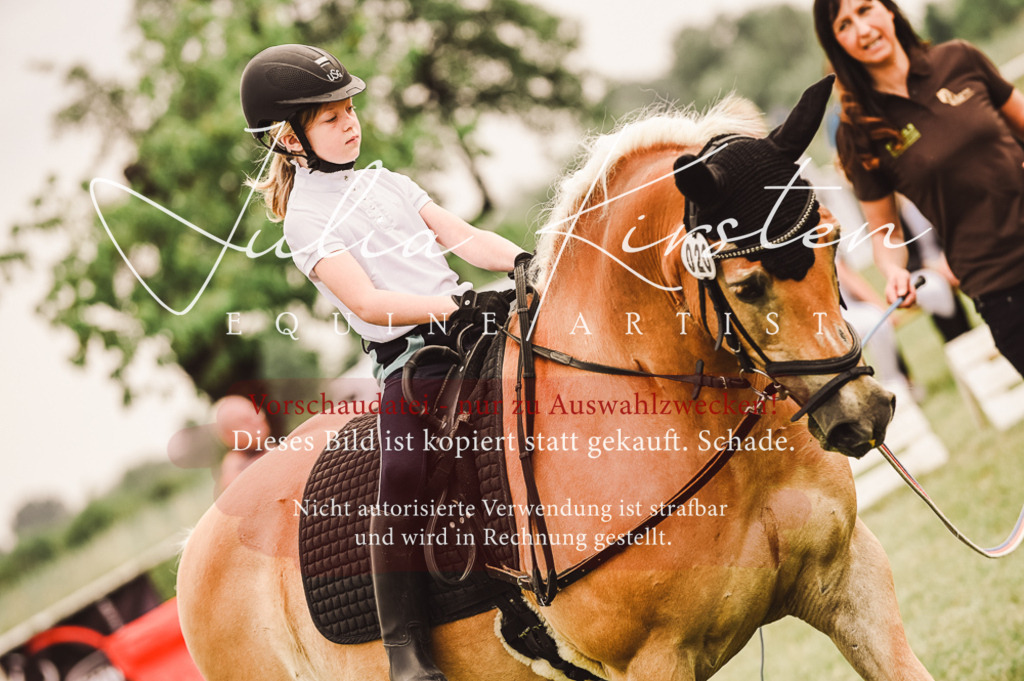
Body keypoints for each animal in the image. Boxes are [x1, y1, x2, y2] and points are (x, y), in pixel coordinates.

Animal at [177, 77, 935, 681]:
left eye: (831, 239)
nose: (865, 413)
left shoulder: (849, 580)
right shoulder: (653, 663)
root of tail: (196, 544)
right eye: (747, 285)